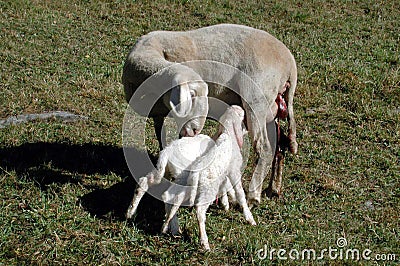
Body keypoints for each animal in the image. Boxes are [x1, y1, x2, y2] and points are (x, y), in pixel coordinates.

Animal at [123, 23, 298, 206]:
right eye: (192, 95)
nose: (194, 131)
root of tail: (290, 65)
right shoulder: (159, 115)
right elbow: (161, 137)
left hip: (256, 98)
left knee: (264, 147)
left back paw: (254, 194)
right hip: (272, 108)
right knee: (280, 144)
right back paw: (273, 188)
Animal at [160, 105, 256, 250]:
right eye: (241, 116)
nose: (247, 128)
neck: (228, 136)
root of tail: (196, 172)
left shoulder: (225, 174)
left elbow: (225, 187)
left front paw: (226, 203)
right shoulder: (234, 171)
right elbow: (240, 193)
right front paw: (249, 217)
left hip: (189, 185)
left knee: (173, 198)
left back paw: (167, 227)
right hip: (207, 190)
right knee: (199, 211)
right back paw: (204, 242)